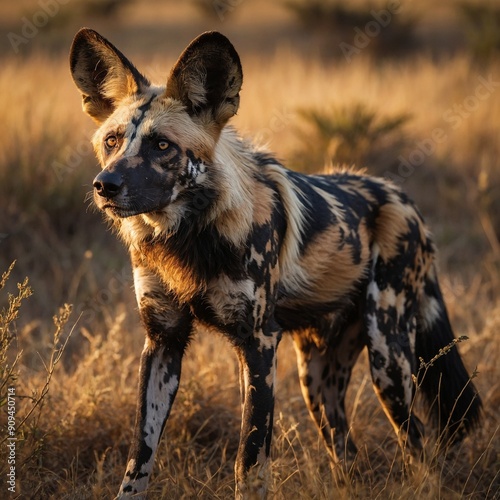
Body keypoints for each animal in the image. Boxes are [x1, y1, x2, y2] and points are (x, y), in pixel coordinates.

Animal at [69, 30, 480, 496]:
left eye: (162, 145)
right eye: (112, 141)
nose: (105, 186)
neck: (188, 237)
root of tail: (404, 198)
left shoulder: (259, 344)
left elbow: (249, 463)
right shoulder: (162, 343)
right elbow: (138, 460)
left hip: (387, 360)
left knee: (418, 444)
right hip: (317, 381)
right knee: (347, 453)